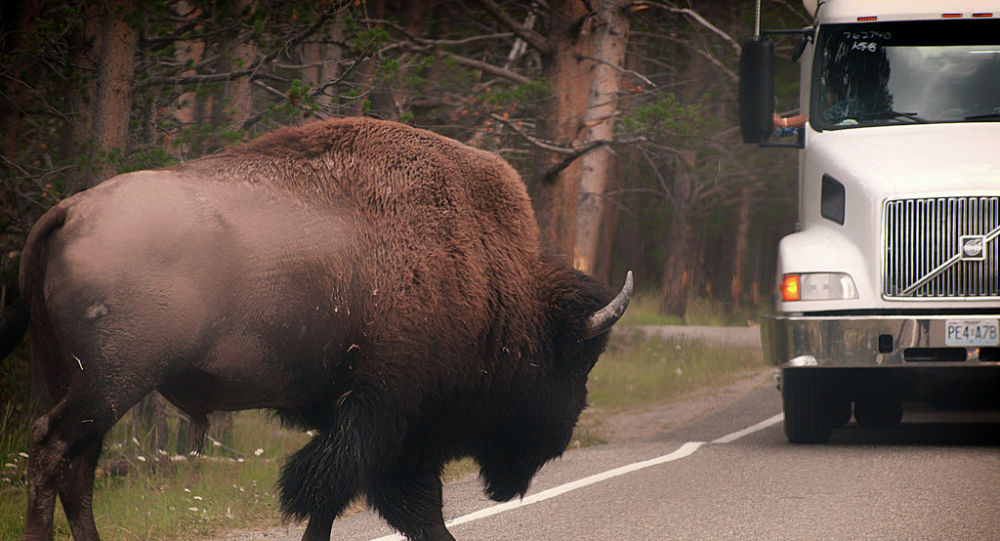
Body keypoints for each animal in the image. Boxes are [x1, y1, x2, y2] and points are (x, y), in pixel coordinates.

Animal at [3, 117, 632, 540]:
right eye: (575, 360)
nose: (559, 438)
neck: (488, 273)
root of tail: (68, 211)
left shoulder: (359, 420)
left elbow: (347, 500)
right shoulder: (386, 413)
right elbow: (359, 494)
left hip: (80, 382)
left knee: (78, 468)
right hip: (112, 381)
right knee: (53, 450)